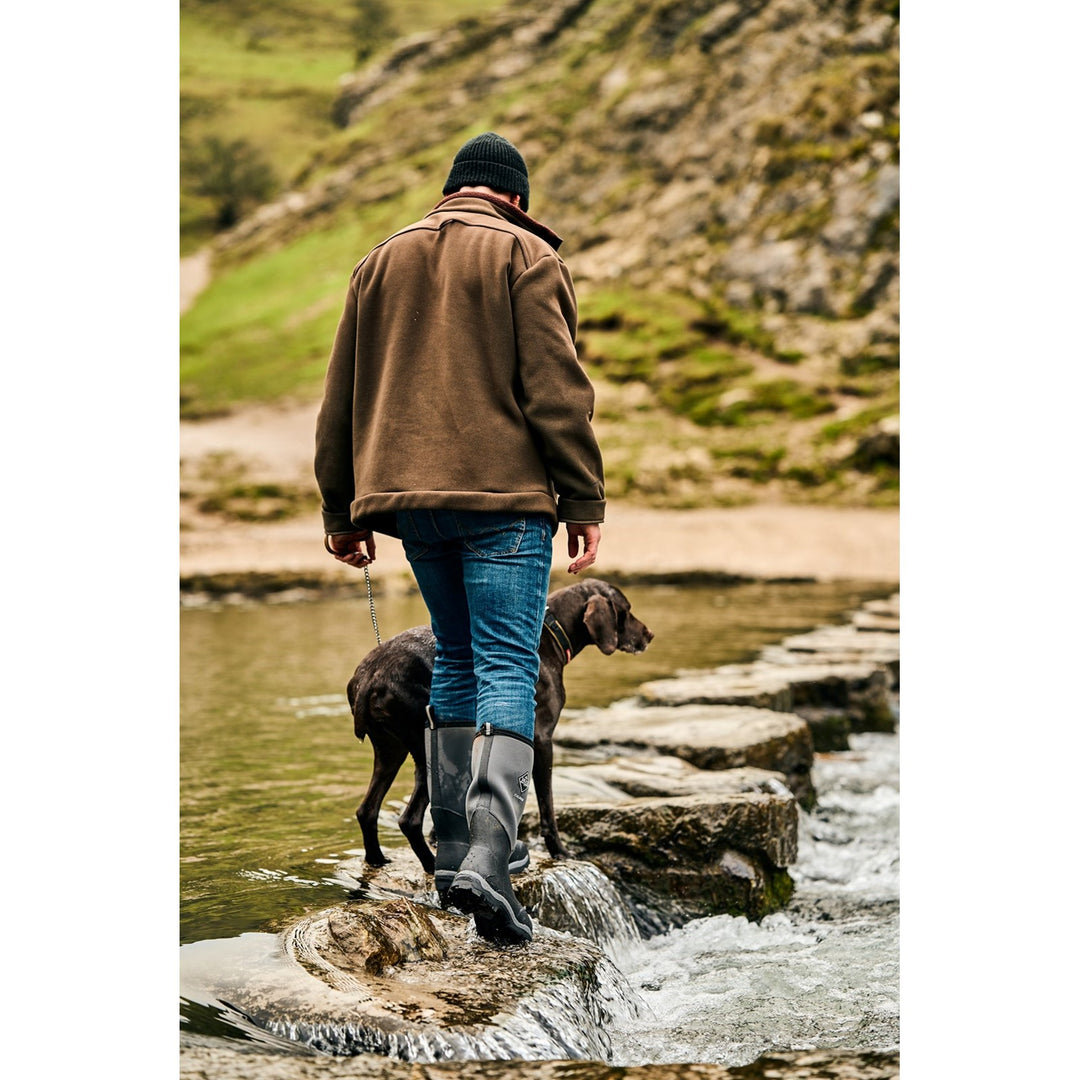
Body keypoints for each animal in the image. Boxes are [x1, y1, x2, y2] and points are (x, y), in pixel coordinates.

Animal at [347, 578, 648, 872]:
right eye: (627, 610)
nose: (649, 635)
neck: (550, 634)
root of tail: (372, 675)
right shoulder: (542, 740)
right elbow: (547, 806)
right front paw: (560, 852)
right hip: (426, 750)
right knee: (408, 819)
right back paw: (432, 867)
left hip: (391, 751)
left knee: (366, 810)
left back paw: (377, 859)